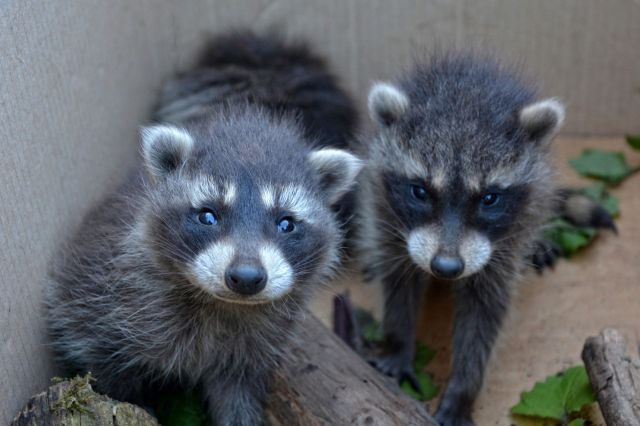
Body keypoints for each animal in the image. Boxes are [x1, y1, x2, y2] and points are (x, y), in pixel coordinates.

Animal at [45, 32, 362, 426]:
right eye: (208, 216)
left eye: (286, 223)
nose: (246, 278)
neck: (221, 304)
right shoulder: (102, 302)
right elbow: (109, 373)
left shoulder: (252, 349)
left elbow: (238, 395)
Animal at [358, 55, 567, 426]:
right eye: (420, 191)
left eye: (489, 198)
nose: (446, 267)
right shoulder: (385, 213)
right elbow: (399, 282)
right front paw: (397, 343)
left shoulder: (508, 243)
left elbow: (484, 315)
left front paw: (463, 388)